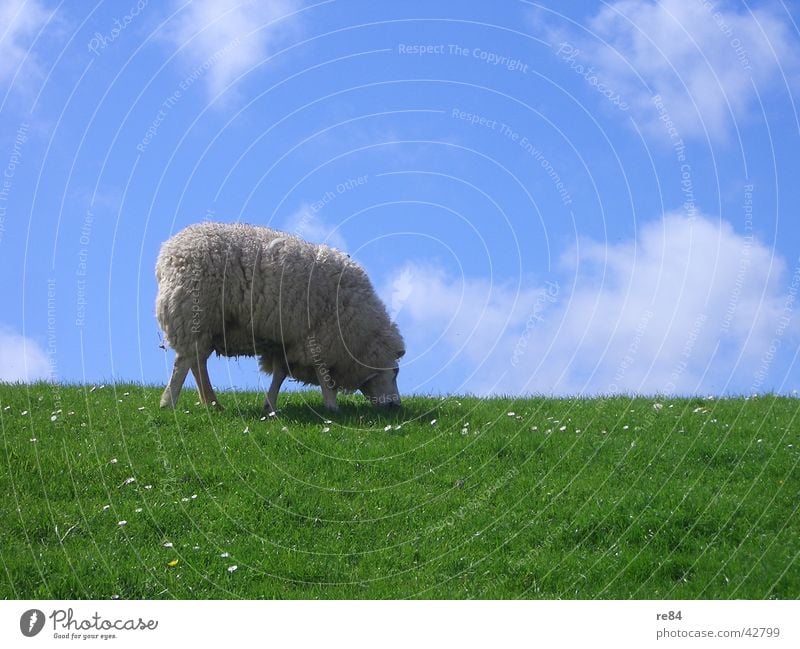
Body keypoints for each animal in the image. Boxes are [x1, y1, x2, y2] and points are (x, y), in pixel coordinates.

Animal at [156, 220, 406, 412]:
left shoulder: (287, 341)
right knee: (184, 361)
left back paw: (212, 402)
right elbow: (324, 375)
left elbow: (280, 374)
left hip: (208, 324)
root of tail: (169, 252)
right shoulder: (320, 337)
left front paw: (270, 406)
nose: (396, 406)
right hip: (193, 312)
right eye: (395, 372)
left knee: (197, 361)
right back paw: (169, 402)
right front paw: (332, 407)